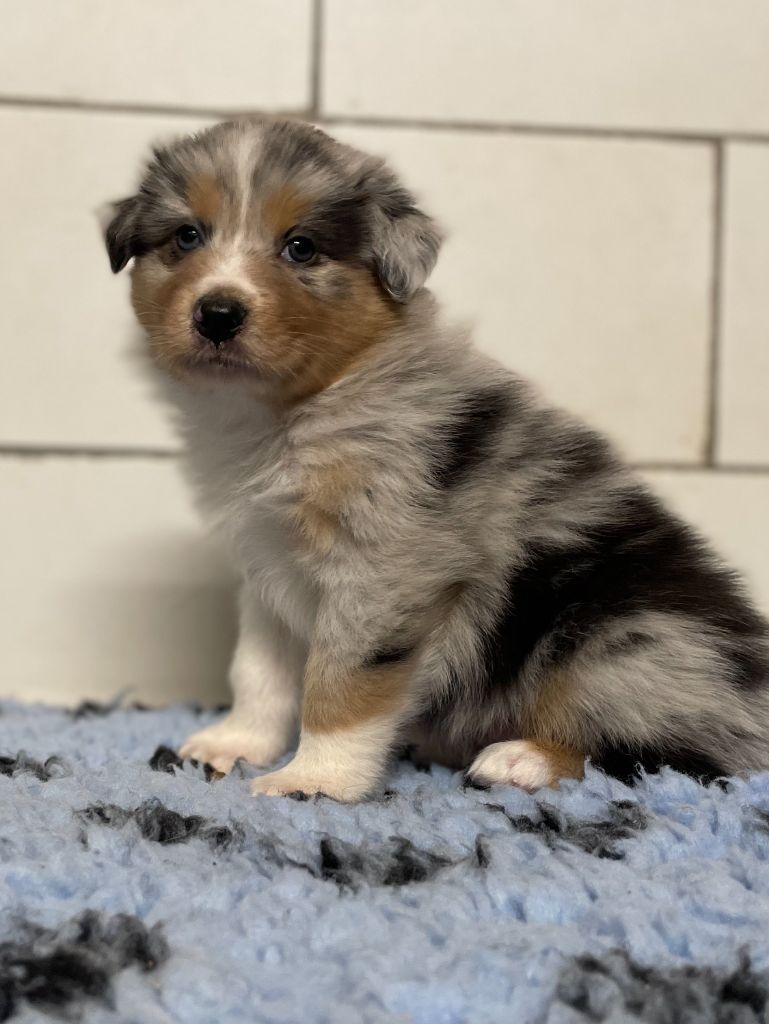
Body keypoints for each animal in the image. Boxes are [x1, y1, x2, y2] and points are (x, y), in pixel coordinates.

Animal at [104, 117, 769, 801]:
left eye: (301, 248)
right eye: (187, 236)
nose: (217, 314)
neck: (292, 412)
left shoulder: (386, 567)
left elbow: (340, 681)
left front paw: (312, 781)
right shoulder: (267, 564)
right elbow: (258, 668)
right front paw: (235, 744)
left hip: (623, 638)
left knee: (664, 754)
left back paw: (522, 758)